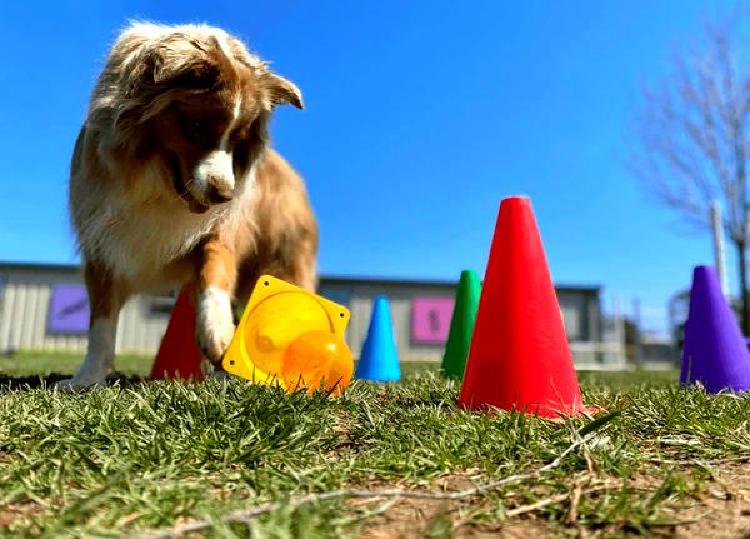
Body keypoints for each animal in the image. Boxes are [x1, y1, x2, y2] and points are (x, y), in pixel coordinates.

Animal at [58, 22, 318, 392]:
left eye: (238, 140)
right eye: (197, 126)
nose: (225, 195)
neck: (157, 184)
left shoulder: (220, 228)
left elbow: (215, 268)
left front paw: (218, 334)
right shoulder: (102, 239)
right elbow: (101, 322)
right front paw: (86, 379)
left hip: (286, 257)